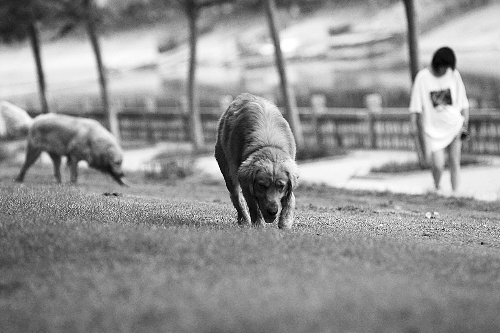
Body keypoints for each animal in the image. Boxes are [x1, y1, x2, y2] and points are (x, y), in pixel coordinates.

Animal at [214, 92, 298, 228]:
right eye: (262, 186)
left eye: (281, 186)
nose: (272, 211)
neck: (269, 145)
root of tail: (245, 94)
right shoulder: (244, 181)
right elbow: (253, 205)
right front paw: (258, 225)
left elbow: (291, 199)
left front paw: (285, 222)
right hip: (228, 171)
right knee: (236, 197)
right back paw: (244, 219)